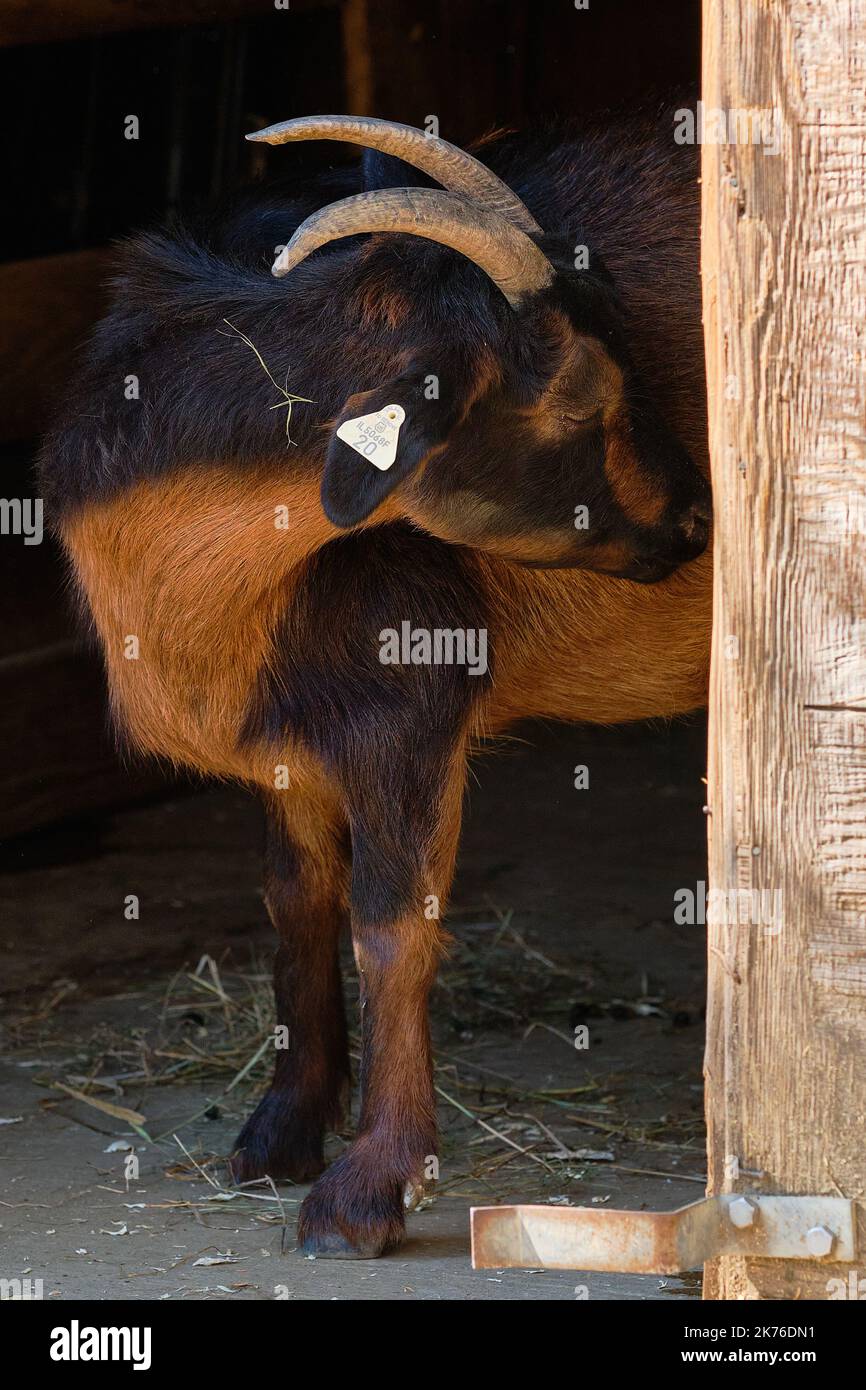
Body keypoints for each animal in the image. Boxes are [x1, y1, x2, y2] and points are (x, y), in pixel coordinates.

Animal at [38, 108, 711, 1262]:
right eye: (578, 387)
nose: (696, 518)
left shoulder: (411, 704)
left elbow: (394, 924)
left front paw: (365, 1190)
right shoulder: (280, 731)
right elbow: (295, 895)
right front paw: (280, 1129)